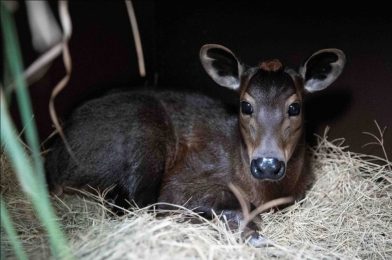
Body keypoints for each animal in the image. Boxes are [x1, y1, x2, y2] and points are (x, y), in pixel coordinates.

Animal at [46, 43, 346, 245]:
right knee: (136, 206)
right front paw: (246, 229)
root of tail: (56, 156)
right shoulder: (181, 184)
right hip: (143, 136)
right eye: (245, 105)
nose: (267, 164)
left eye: (295, 107)